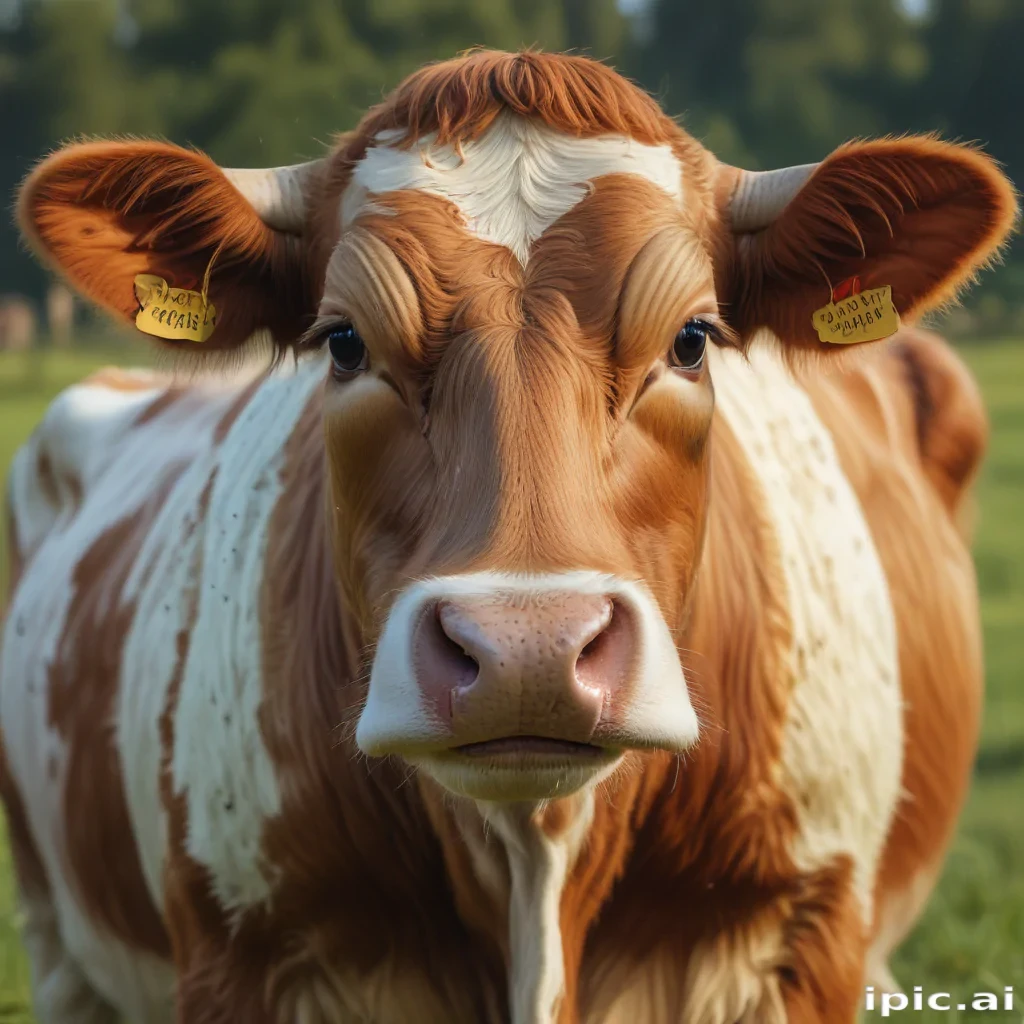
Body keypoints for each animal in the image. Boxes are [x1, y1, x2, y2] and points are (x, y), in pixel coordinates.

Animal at [0, 50, 1016, 1024]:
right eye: (343, 343)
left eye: (692, 340)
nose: (528, 650)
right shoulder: (238, 954)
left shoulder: (802, 938)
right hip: (59, 949)